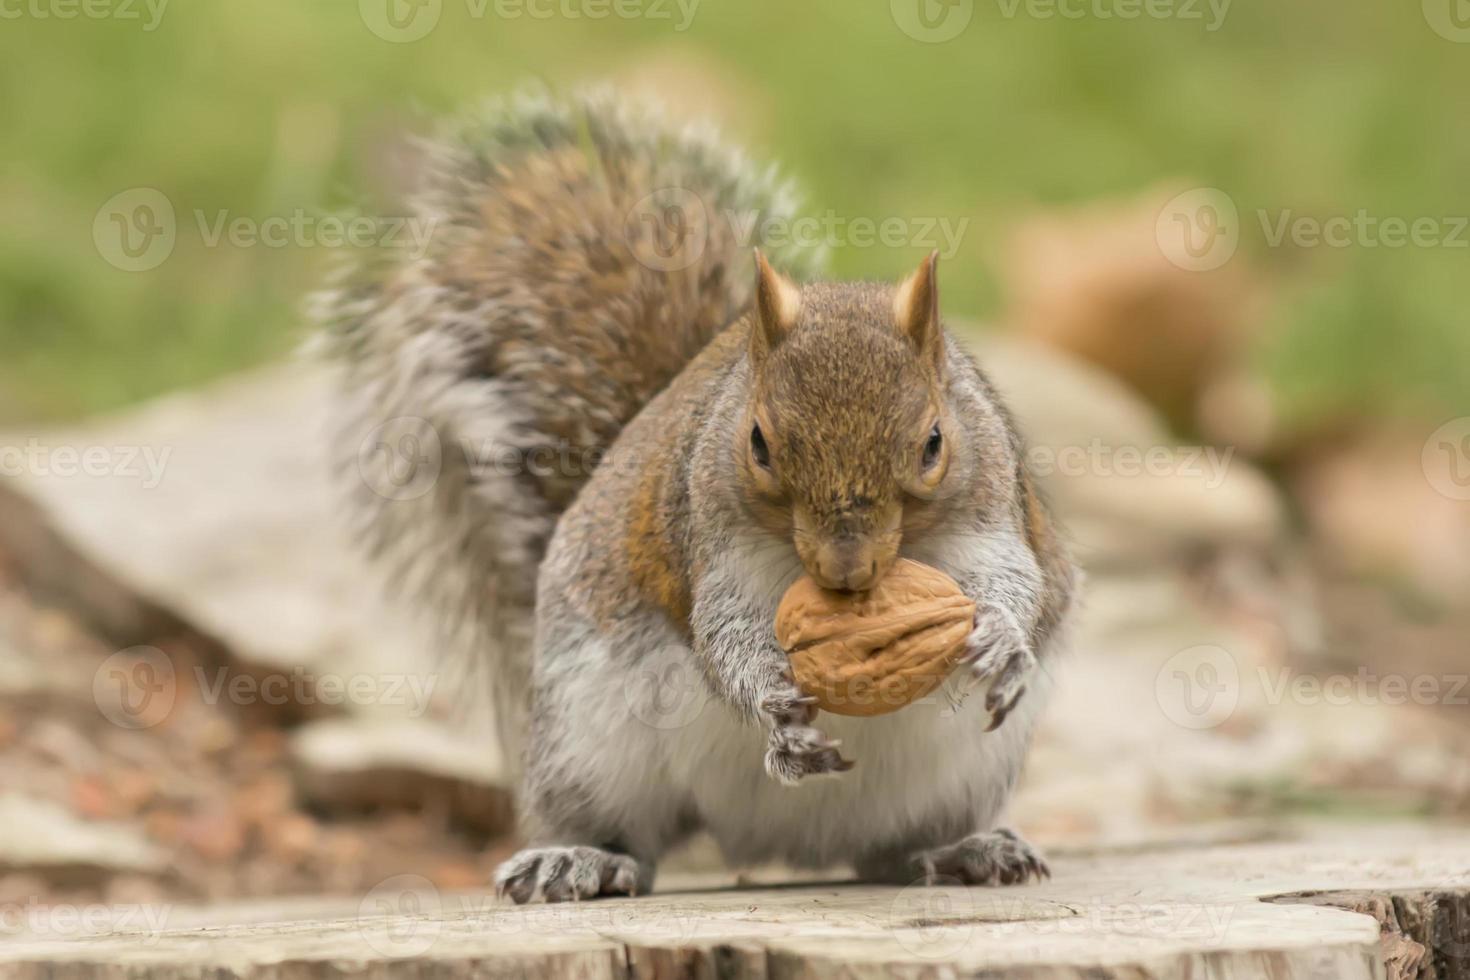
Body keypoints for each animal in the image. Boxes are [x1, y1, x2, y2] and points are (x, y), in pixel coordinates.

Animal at [318, 86, 1081, 905]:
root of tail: (776, 843)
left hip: (962, 776)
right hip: (586, 742)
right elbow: (723, 636)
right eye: (758, 444)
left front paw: (1001, 638)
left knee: (890, 853)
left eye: (934, 442)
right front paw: (771, 700)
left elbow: (1014, 577)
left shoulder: (992, 512)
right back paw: (582, 859)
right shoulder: (714, 547)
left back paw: (963, 850)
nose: (846, 569)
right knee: (631, 837)